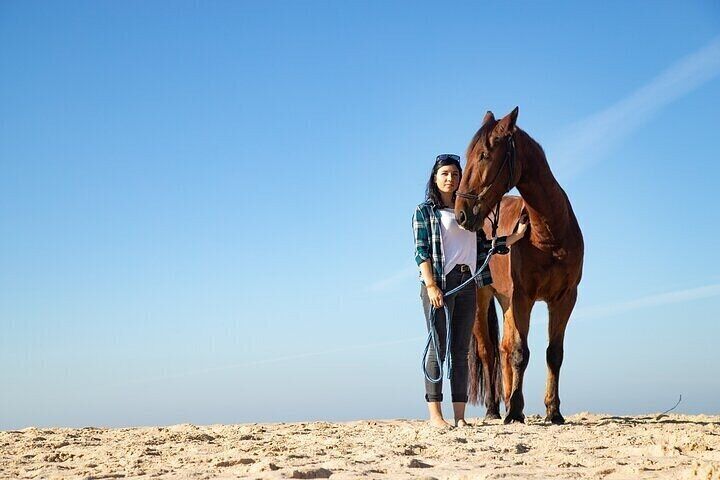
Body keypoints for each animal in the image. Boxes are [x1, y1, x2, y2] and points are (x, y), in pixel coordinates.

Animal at [454, 107, 584, 424]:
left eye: (485, 154)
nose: (461, 214)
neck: (548, 235)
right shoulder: (523, 297)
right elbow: (519, 353)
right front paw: (513, 410)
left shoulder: (564, 299)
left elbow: (554, 354)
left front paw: (553, 411)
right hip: (482, 299)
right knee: (490, 352)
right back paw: (493, 409)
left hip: (506, 301)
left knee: (502, 348)